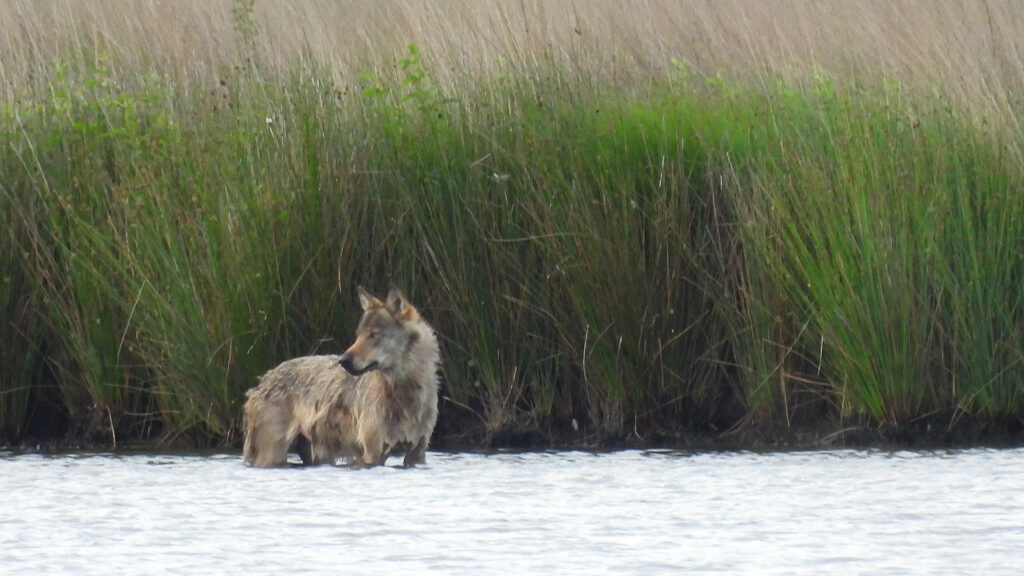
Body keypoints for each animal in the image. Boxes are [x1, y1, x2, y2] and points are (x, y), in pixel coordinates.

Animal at [242, 286, 440, 468]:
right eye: (358, 335)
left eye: (373, 335)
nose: (344, 360)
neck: (406, 391)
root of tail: (262, 381)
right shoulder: (373, 454)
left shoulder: (418, 454)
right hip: (273, 456)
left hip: (316, 456)